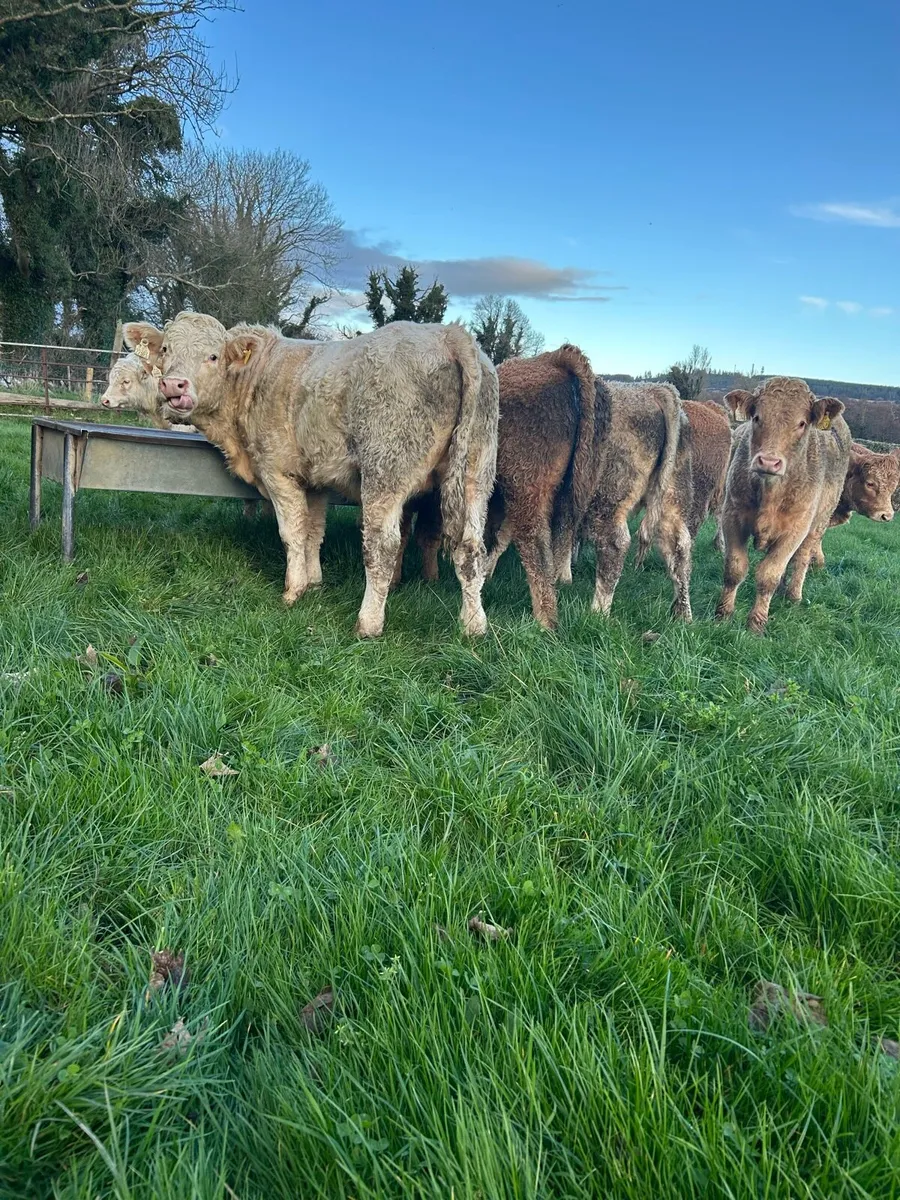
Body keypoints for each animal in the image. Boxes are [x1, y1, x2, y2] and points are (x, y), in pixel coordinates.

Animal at [122, 314, 499, 638]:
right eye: (166, 350)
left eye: (213, 357)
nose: (174, 386)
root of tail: (450, 334)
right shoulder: (316, 479)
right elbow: (314, 532)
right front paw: (315, 582)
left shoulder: (277, 471)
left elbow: (292, 533)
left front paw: (294, 590)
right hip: (477, 472)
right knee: (471, 548)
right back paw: (473, 625)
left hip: (386, 469)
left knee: (382, 547)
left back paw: (368, 623)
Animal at [716, 377, 851, 634]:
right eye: (757, 417)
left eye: (802, 423)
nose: (769, 461)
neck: (770, 492)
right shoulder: (732, 516)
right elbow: (735, 568)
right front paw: (723, 614)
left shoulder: (796, 530)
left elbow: (768, 574)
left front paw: (756, 624)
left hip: (817, 525)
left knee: (801, 559)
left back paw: (792, 595)